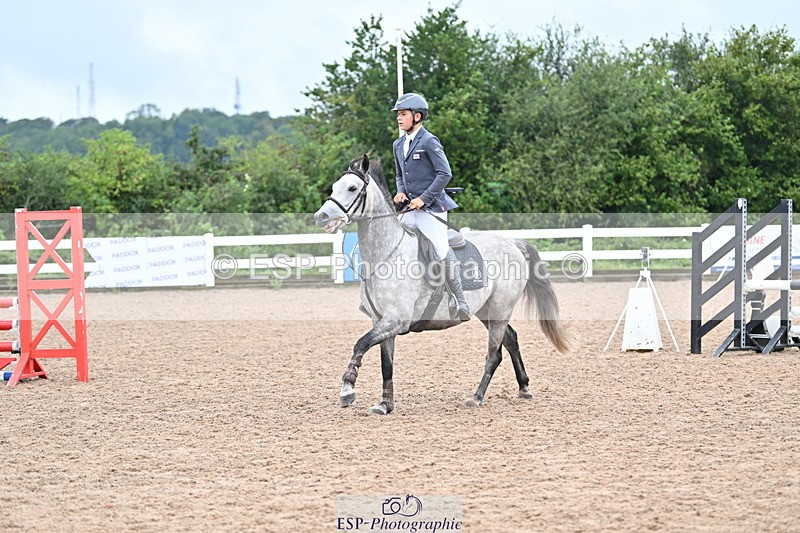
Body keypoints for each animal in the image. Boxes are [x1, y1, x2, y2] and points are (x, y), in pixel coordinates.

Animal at [314, 154, 570, 414]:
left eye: (352, 188)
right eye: (334, 187)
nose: (321, 217)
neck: (386, 254)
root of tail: (512, 243)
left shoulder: (396, 320)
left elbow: (360, 344)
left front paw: (348, 389)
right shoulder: (381, 321)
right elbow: (386, 364)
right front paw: (385, 404)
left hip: (500, 309)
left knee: (493, 354)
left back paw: (476, 397)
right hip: (486, 311)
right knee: (510, 340)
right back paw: (524, 387)